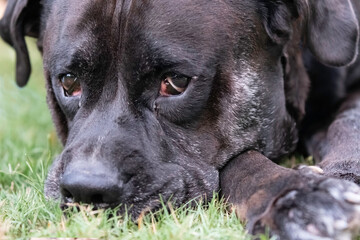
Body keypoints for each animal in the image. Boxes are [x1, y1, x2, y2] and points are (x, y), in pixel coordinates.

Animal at [2, 0, 360, 239]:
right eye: (69, 82)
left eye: (175, 82)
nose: (87, 189)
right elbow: (239, 162)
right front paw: (295, 195)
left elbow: (349, 121)